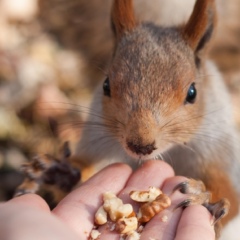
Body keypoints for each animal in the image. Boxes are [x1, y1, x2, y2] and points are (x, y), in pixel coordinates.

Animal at [75, 0, 240, 236]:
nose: (140, 145)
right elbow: (83, 162)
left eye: (192, 93)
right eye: (106, 85)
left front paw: (205, 196)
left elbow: (231, 194)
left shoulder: (219, 150)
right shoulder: (97, 141)